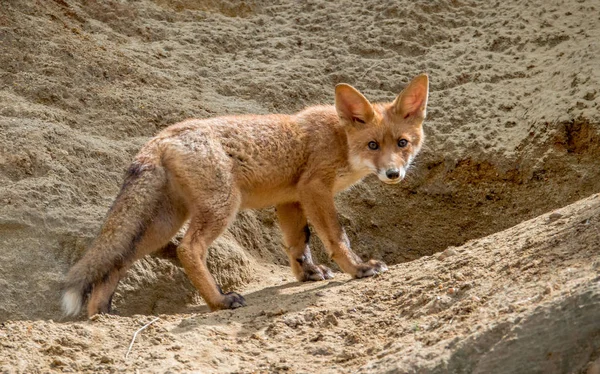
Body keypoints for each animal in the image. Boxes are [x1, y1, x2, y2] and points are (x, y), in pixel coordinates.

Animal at [61, 74, 428, 318]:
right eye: (372, 145)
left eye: (402, 143)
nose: (393, 174)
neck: (339, 139)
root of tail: (163, 136)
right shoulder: (314, 189)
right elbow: (337, 237)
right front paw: (358, 268)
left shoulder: (291, 199)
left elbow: (299, 245)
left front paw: (308, 275)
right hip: (221, 207)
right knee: (187, 249)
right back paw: (219, 301)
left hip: (162, 224)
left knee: (117, 262)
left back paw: (102, 316)